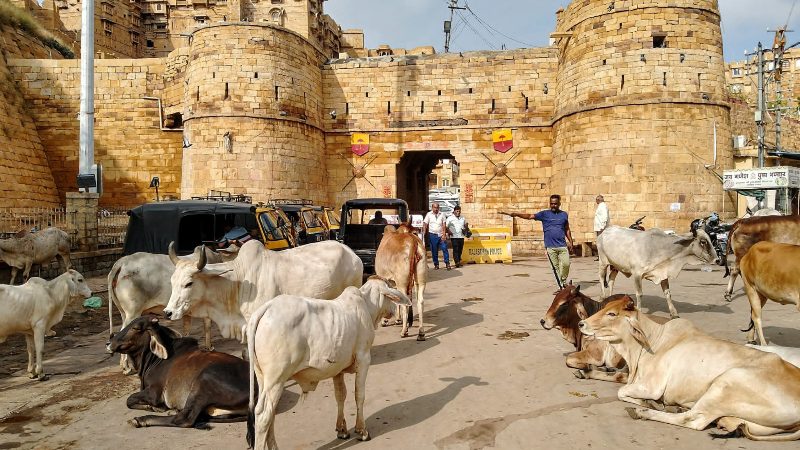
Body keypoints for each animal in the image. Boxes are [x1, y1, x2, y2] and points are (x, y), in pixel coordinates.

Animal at [107, 246, 238, 372]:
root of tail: (121, 262)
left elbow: (187, 329)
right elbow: (207, 326)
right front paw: (209, 347)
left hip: (124, 313)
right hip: (133, 313)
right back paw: (126, 367)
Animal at [107, 316, 250, 428]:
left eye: (135, 328)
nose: (109, 343)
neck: (154, 359)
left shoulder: (154, 393)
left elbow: (129, 399)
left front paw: (154, 407)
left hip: (204, 381)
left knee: (184, 419)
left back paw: (140, 420)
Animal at [245, 276, 412, 448]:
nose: (393, 311)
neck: (367, 304)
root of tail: (266, 308)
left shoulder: (337, 368)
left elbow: (340, 395)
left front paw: (342, 430)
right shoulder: (364, 359)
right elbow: (359, 395)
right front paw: (362, 431)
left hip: (263, 379)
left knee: (270, 413)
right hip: (276, 379)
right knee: (264, 415)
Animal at [580, 298, 800, 442]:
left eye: (612, 314)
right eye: (606, 308)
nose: (582, 323)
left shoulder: (653, 386)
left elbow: (622, 391)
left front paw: (647, 403)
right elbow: (619, 380)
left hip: (725, 383)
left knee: (692, 420)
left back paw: (646, 412)